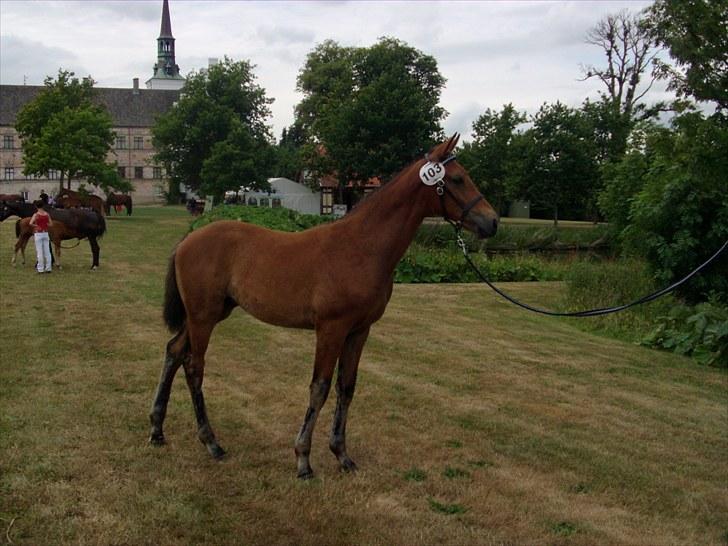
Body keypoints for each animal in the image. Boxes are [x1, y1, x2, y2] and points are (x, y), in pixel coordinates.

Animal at [148, 135, 500, 476]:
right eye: (457, 178)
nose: (492, 221)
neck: (360, 247)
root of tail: (188, 239)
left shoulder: (359, 331)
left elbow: (347, 387)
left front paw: (342, 455)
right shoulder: (330, 329)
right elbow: (320, 387)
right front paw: (303, 459)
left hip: (210, 314)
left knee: (174, 351)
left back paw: (157, 430)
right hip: (203, 317)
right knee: (194, 366)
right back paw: (211, 442)